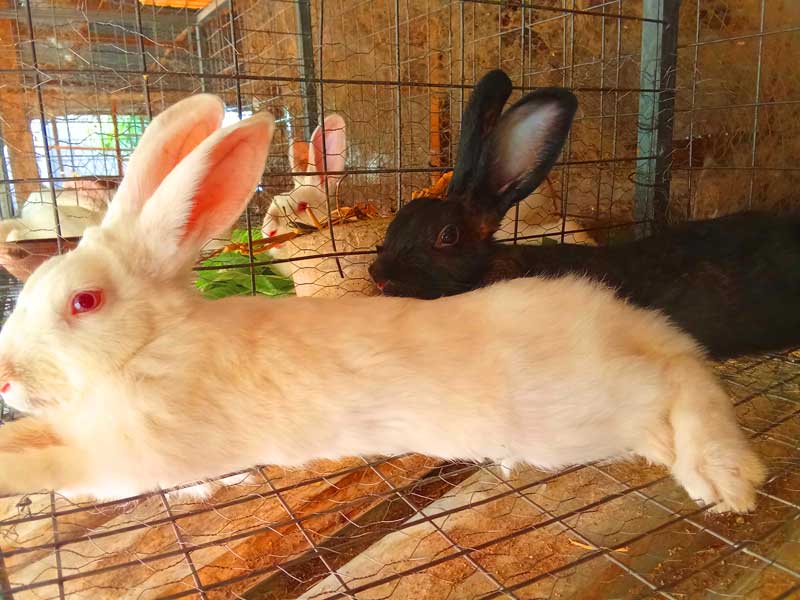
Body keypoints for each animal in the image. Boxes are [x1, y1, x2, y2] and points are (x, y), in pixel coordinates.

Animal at [0, 93, 764, 514]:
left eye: (85, 301)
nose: (5, 380)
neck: (148, 347)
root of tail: (623, 319)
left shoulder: (129, 453)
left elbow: (56, 464)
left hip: (588, 408)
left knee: (686, 382)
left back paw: (730, 481)